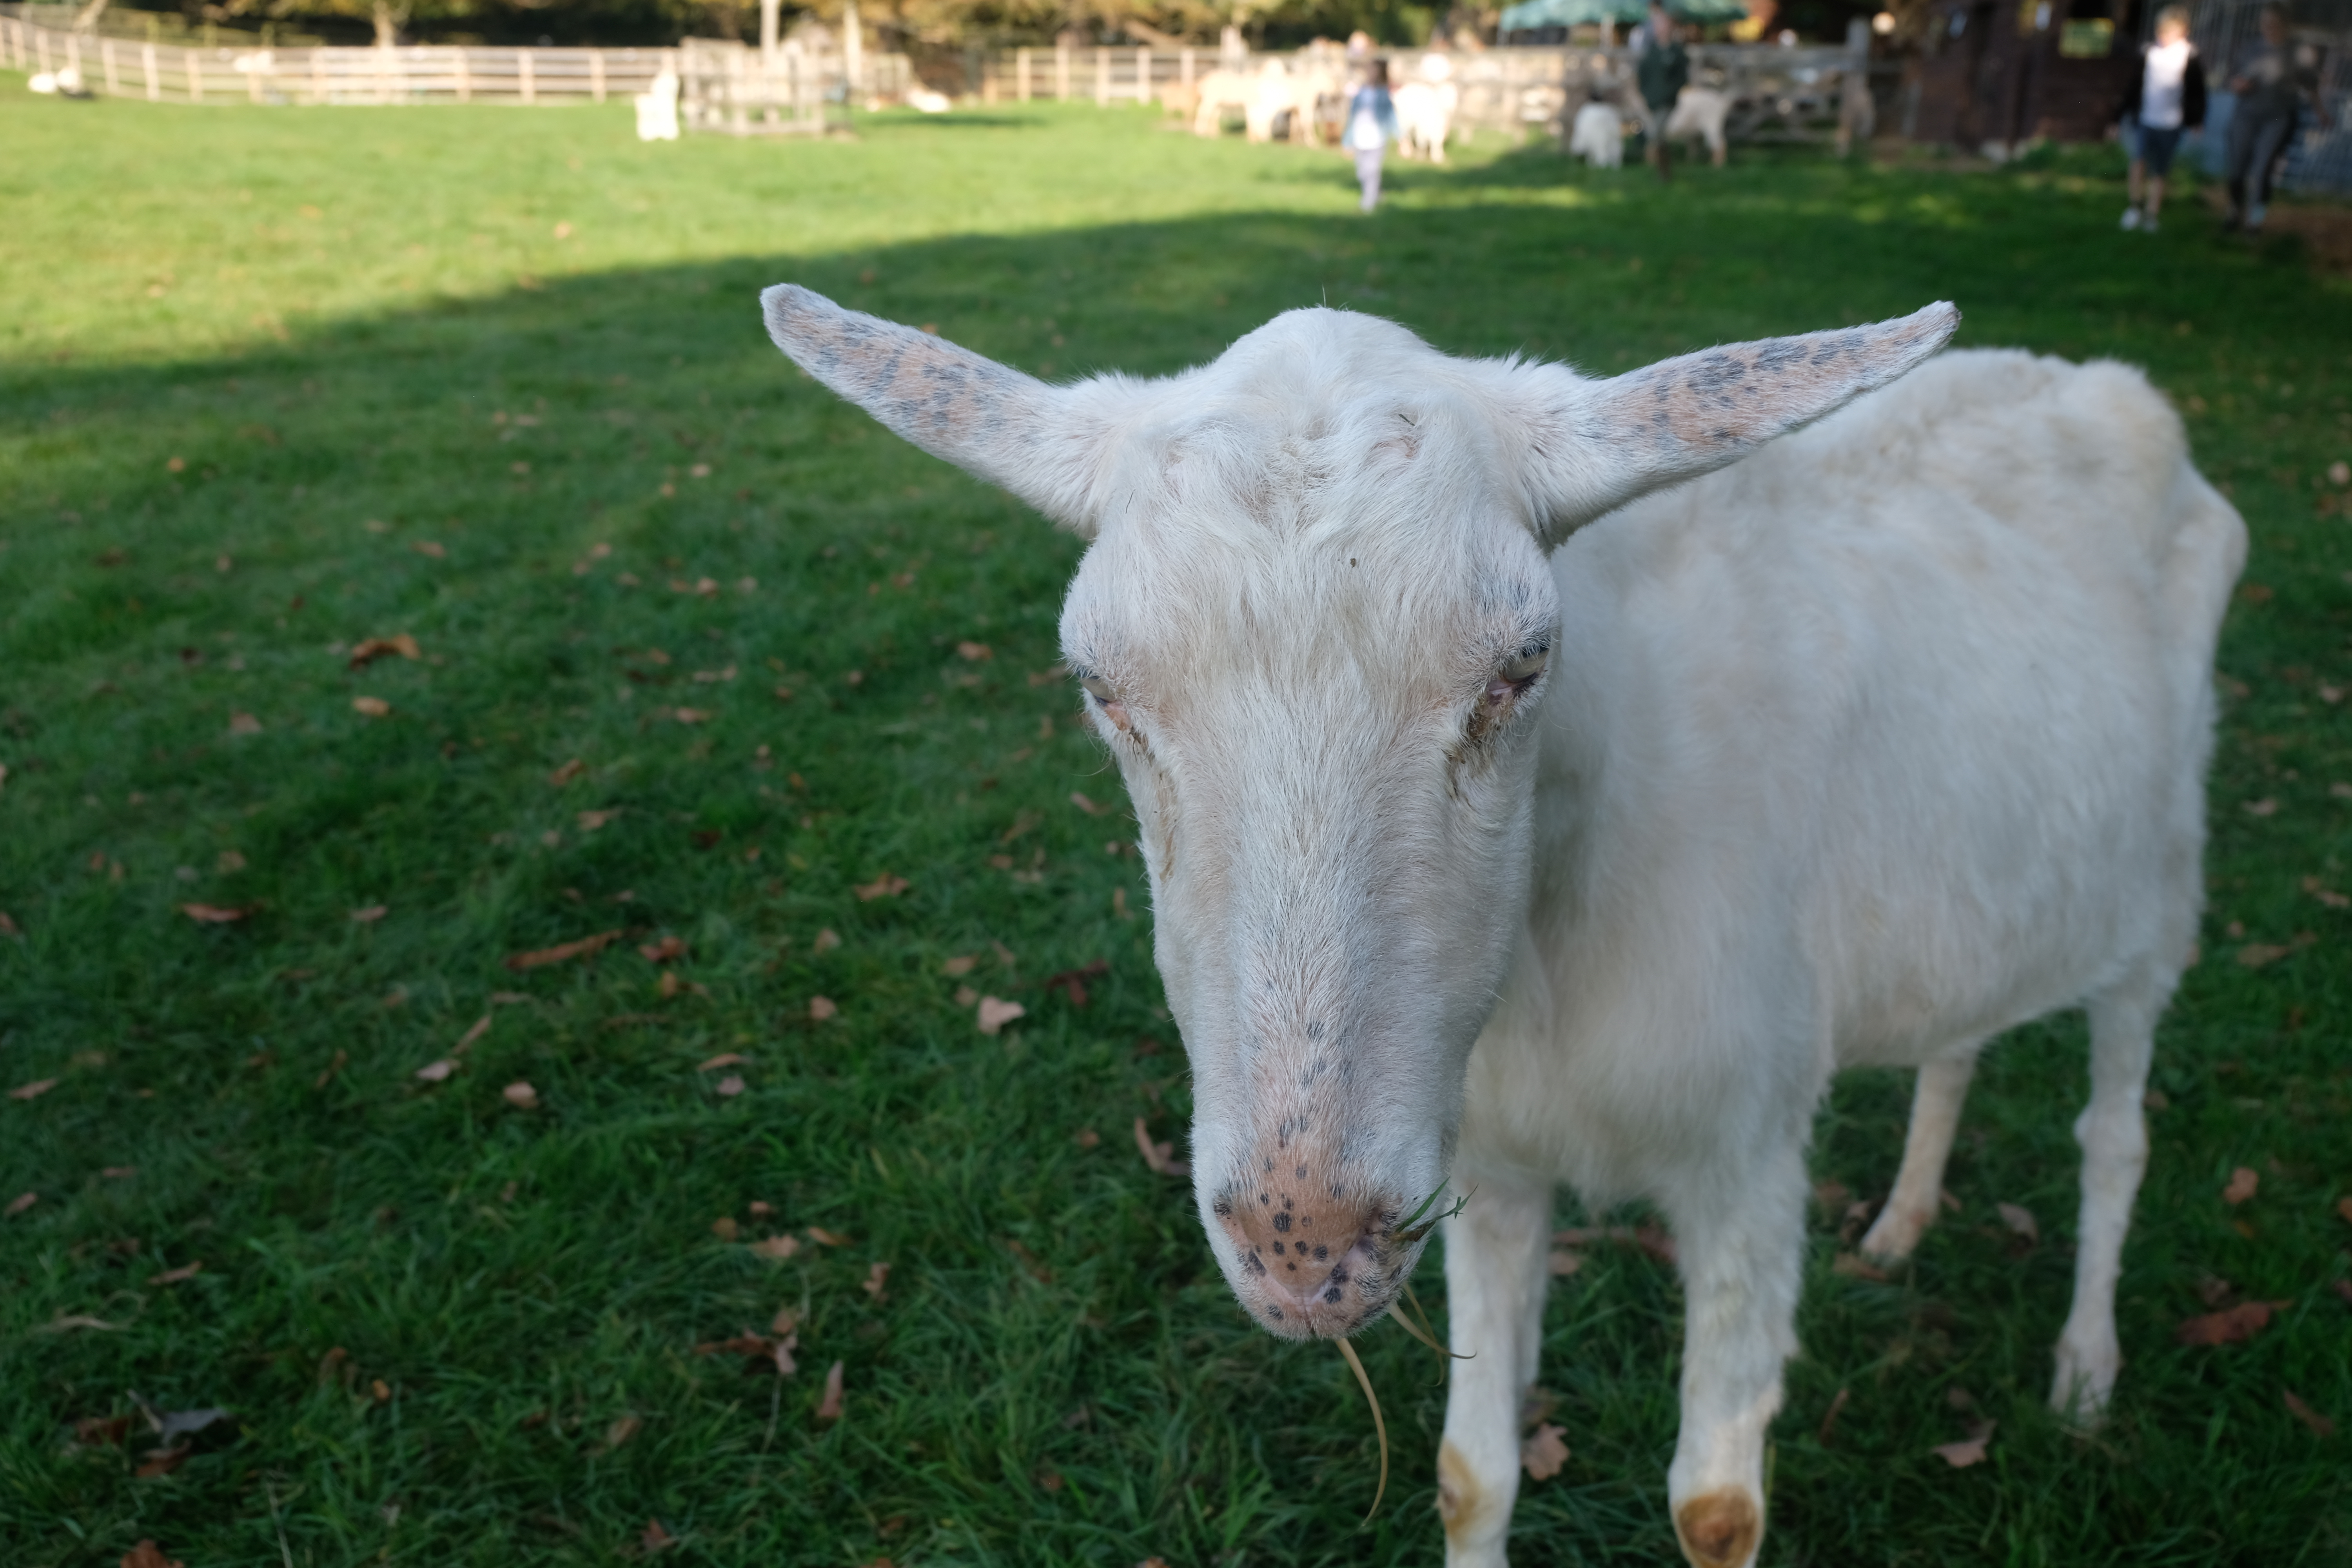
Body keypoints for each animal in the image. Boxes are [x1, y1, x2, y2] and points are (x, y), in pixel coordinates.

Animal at [758, 287, 2244, 1568]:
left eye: (1522, 664)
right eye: (1097, 685)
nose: (1306, 1247)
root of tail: (2101, 383)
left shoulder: (1747, 1146)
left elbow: (1716, 1512)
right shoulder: (1486, 1163)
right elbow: (1470, 1473)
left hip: (2164, 892)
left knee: (2113, 1133)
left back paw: (2086, 1371)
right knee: (1957, 1038)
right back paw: (1903, 1220)